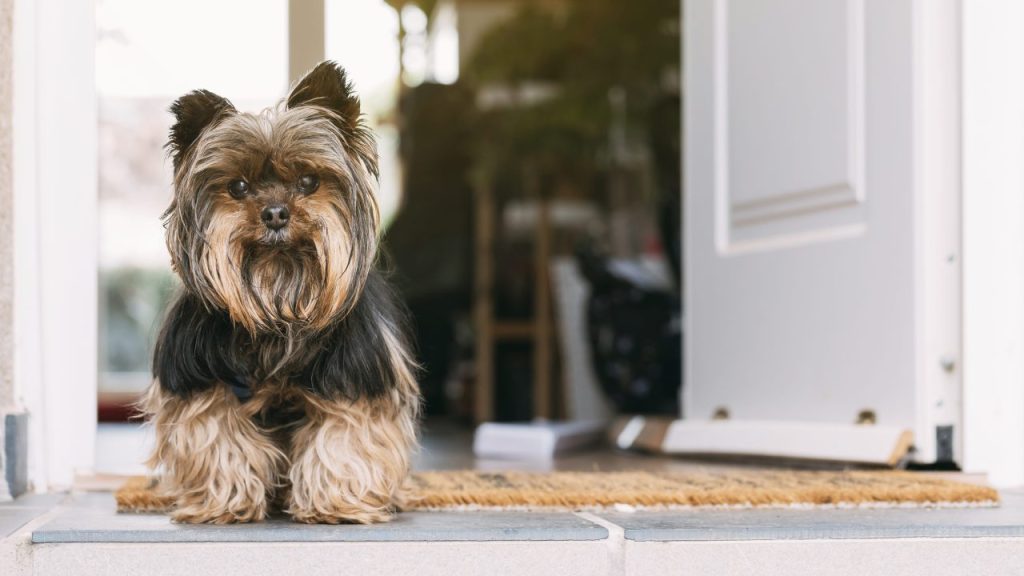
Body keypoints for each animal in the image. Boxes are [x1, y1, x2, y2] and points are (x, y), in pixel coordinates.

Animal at [141, 60, 419, 522]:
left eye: (308, 181)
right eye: (238, 187)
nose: (275, 213)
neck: (280, 290)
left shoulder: (354, 379)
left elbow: (342, 440)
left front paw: (335, 504)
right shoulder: (202, 380)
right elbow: (219, 437)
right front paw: (227, 503)